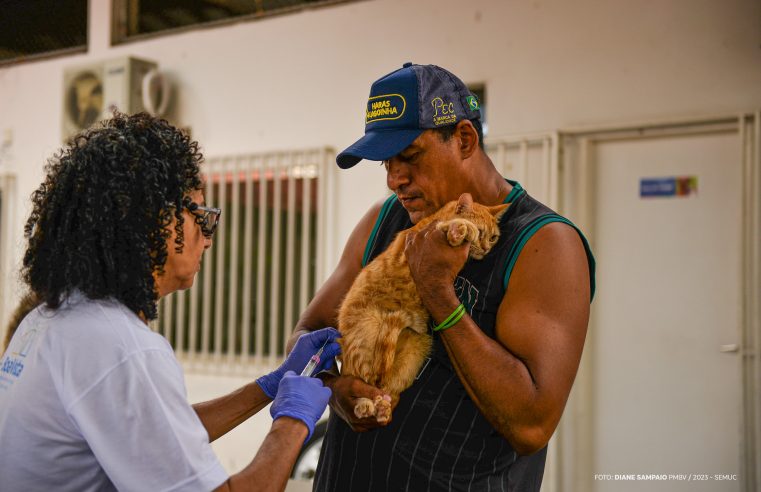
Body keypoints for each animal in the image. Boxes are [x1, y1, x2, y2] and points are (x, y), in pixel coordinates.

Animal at [336, 192, 508, 422]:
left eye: (493, 238)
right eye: (481, 232)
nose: (487, 248)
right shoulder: (411, 247)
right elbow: (447, 226)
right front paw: (461, 228)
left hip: (418, 345)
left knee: (385, 388)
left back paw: (382, 408)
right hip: (368, 330)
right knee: (364, 378)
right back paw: (365, 404)